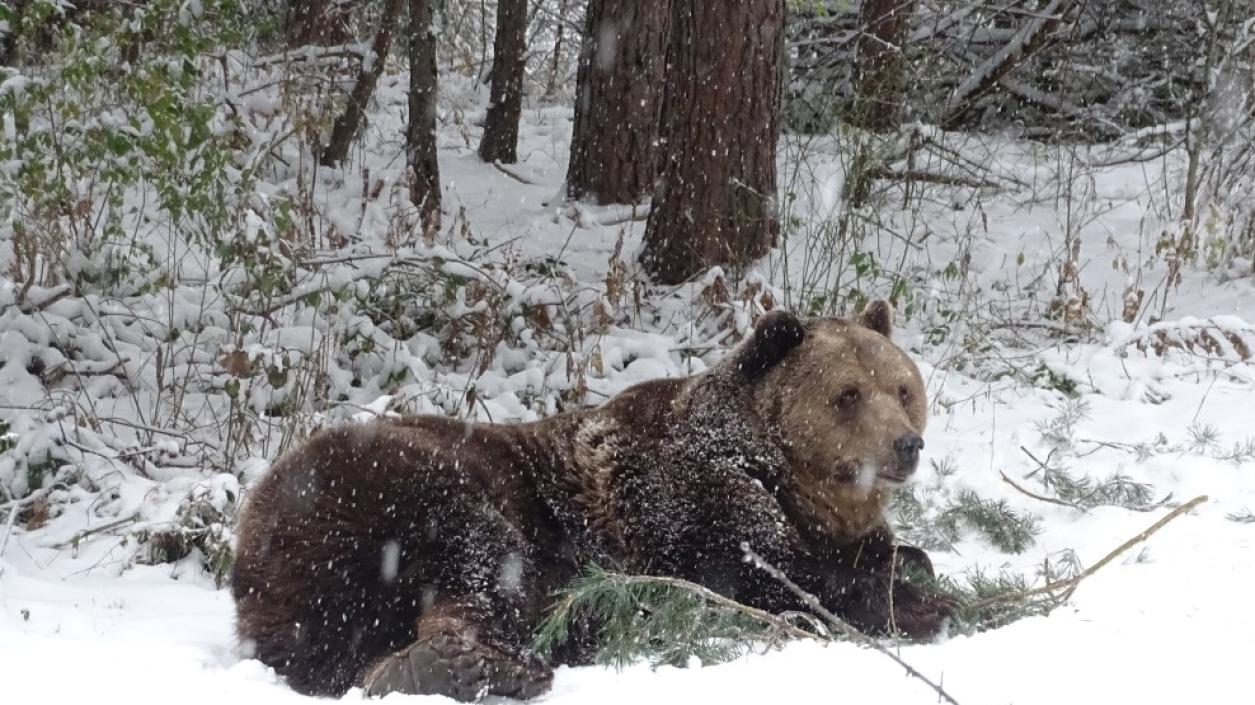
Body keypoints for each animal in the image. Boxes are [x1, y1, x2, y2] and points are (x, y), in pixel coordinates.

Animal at [230, 301, 948, 697]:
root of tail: (252, 522)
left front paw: (912, 568)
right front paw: (917, 603)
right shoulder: (688, 502)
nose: (905, 444)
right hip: (390, 481)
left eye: (901, 387)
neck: (784, 478)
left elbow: (878, 552)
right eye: (847, 394)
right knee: (477, 558)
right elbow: (768, 574)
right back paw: (476, 664)